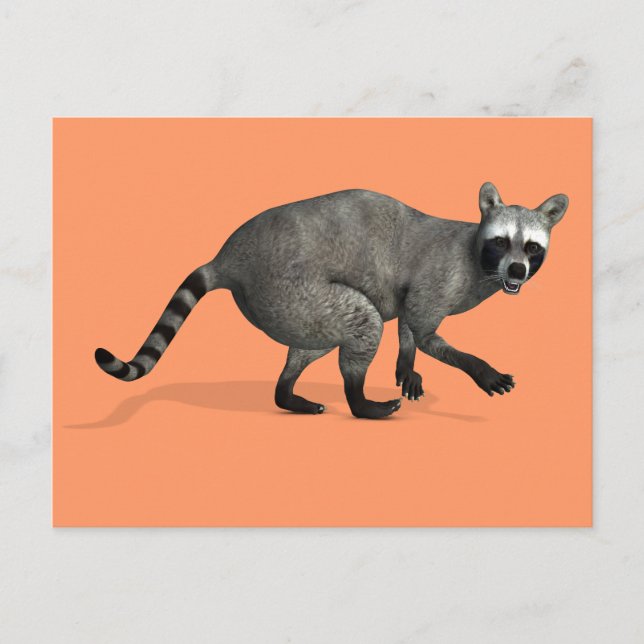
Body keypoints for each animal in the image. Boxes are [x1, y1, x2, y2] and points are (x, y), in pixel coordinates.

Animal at [95, 182, 568, 419]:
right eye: (502, 242)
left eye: (531, 249)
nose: (517, 272)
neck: (477, 258)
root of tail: (230, 257)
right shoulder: (440, 277)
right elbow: (423, 329)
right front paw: (478, 368)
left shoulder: (415, 288)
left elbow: (407, 325)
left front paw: (406, 363)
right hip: (291, 286)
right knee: (364, 321)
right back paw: (359, 401)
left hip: (289, 306)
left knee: (312, 344)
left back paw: (287, 392)